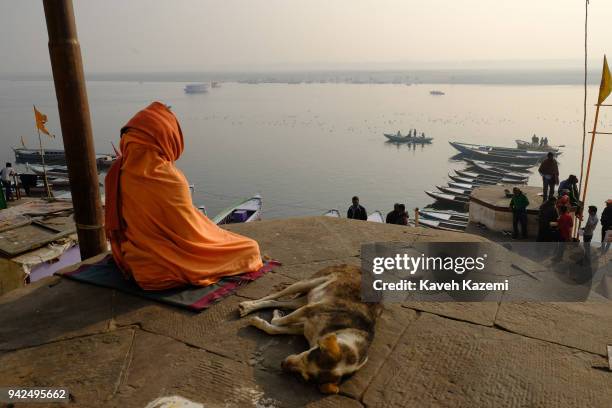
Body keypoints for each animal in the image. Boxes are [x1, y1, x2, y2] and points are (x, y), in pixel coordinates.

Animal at [238, 262, 378, 394]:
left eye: (304, 377)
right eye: (308, 356)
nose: (282, 364)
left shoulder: (303, 327)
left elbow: (275, 329)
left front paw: (266, 320)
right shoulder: (310, 309)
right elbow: (277, 322)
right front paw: (268, 318)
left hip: (305, 298)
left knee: (278, 302)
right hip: (308, 283)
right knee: (273, 296)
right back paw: (248, 305)